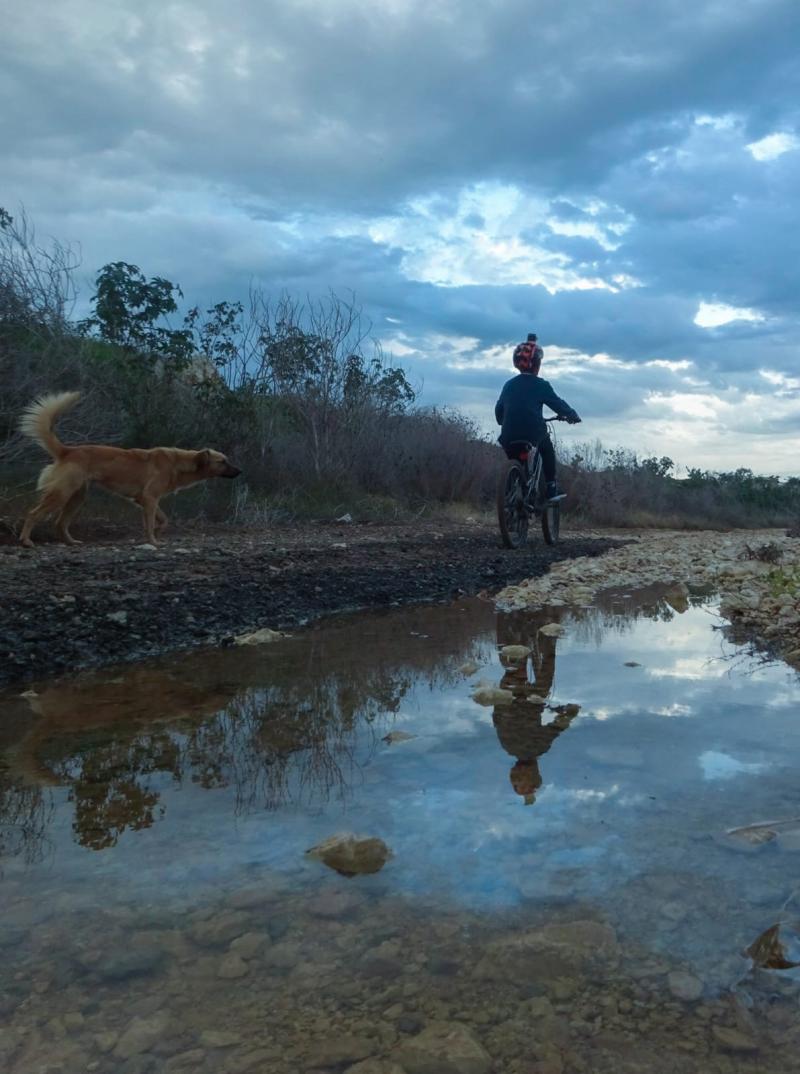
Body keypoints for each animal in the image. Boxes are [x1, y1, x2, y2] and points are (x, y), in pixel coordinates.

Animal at [18, 393, 240, 545]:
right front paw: (153, 541)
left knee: (60, 523)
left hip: (77, 497)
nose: (240, 472)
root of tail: (68, 451)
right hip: (62, 493)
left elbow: (164, 520)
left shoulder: (144, 499)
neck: (179, 463)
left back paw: (70, 542)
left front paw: (158, 534)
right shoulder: (149, 498)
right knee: (33, 514)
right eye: (223, 461)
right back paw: (26, 540)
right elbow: (150, 523)